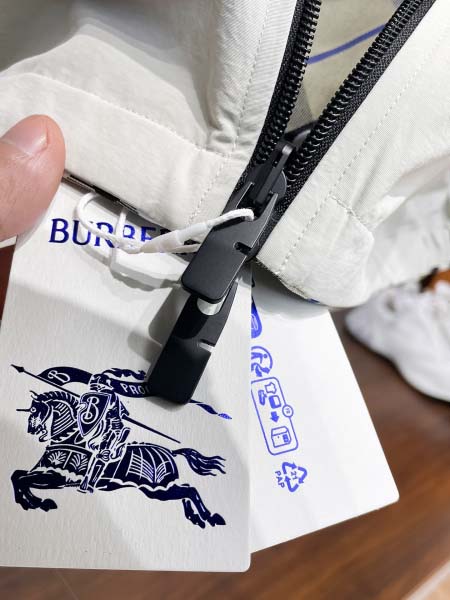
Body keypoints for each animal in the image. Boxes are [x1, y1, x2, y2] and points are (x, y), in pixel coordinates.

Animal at [11, 390, 226, 529]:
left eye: (36, 410)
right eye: (30, 409)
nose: (31, 429)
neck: (71, 438)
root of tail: (171, 452)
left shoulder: (58, 478)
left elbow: (22, 480)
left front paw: (38, 502)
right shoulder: (43, 473)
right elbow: (17, 476)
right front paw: (30, 502)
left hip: (157, 490)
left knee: (190, 491)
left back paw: (209, 517)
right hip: (160, 490)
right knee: (186, 491)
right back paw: (196, 518)